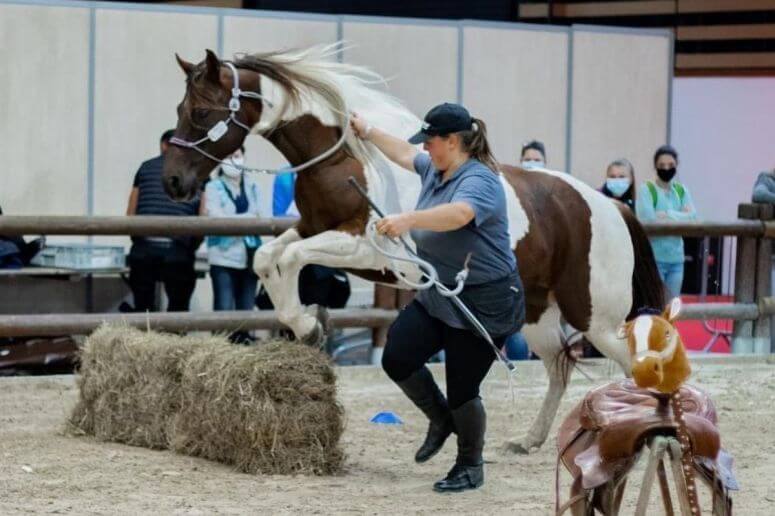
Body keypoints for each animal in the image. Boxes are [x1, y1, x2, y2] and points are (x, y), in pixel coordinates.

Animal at [164, 46, 660, 454]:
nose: (173, 182)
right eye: (181, 108)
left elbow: (290, 259)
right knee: (559, 368)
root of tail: (611, 205)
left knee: (631, 363)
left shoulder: (366, 249)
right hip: (539, 314)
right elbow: (268, 258)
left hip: (595, 318)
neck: (348, 156)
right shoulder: (311, 227)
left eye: (203, 111)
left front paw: (310, 324)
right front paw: (308, 324)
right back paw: (530, 440)